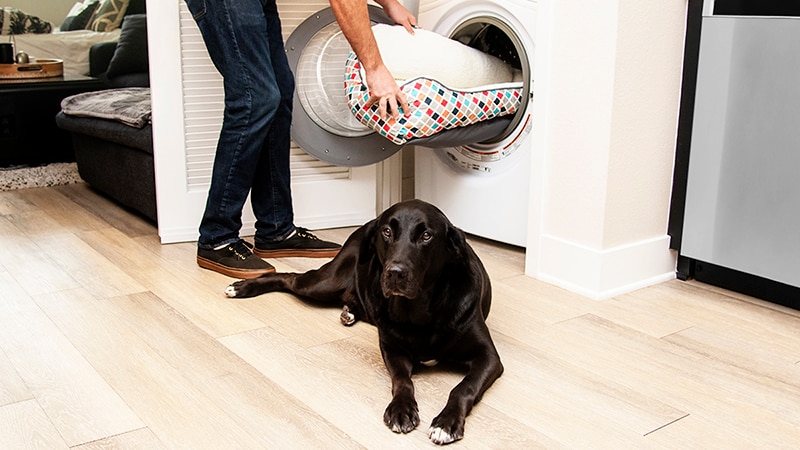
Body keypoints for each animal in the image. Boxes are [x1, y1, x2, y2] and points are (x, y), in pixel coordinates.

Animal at [223, 200, 500, 442]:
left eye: (426, 235)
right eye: (387, 231)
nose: (395, 273)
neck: (419, 309)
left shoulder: (489, 358)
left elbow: (463, 387)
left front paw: (446, 422)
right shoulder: (392, 350)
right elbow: (402, 381)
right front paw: (401, 409)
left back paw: (349, 311)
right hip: (323, 283)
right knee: (290, 277)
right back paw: (242, 287)